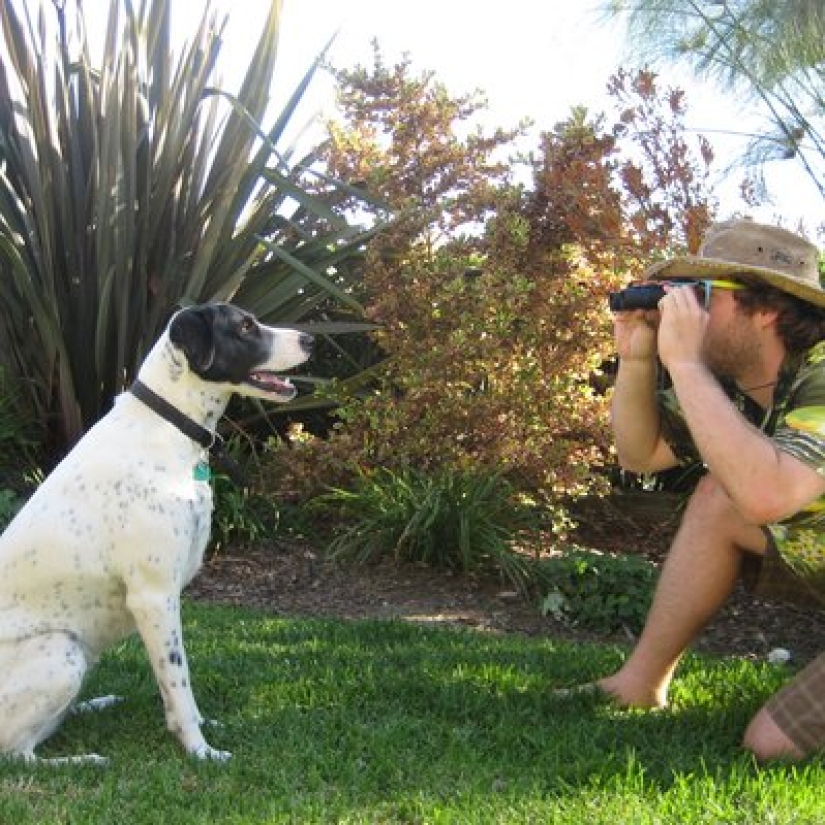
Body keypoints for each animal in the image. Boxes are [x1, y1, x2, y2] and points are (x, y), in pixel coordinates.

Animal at [0, 300, 312, 760]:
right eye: (245, 326)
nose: (310, 339)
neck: (169, 426)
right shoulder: (154, 597)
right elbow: (179, 683)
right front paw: (201, 752)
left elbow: (175, 691)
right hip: (62, 651)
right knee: (19, 752)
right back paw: (86, 760)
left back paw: (93, 705)